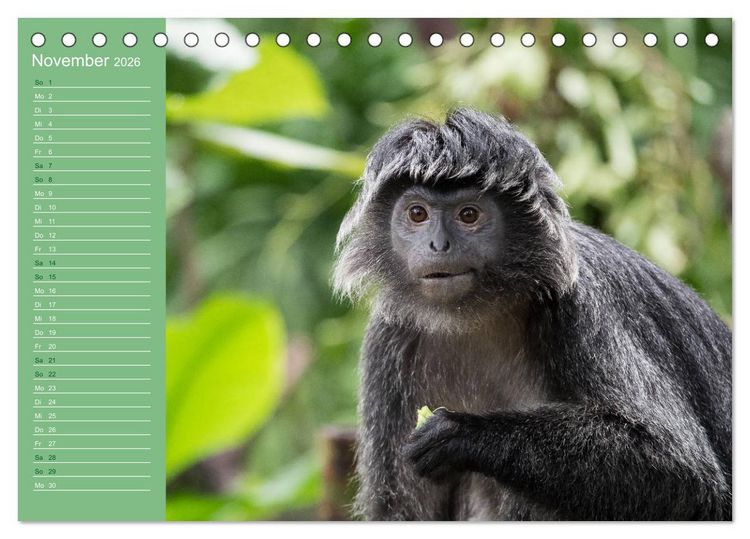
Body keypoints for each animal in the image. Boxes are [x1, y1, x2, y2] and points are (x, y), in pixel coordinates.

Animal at [332, 108, 732, 521]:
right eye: (417, 213)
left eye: (469, 215)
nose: (438, 245)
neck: (476, 315)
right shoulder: (388, 337)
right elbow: (401, 512)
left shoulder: (581, 305)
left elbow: (683, 473)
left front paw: (461, 432)